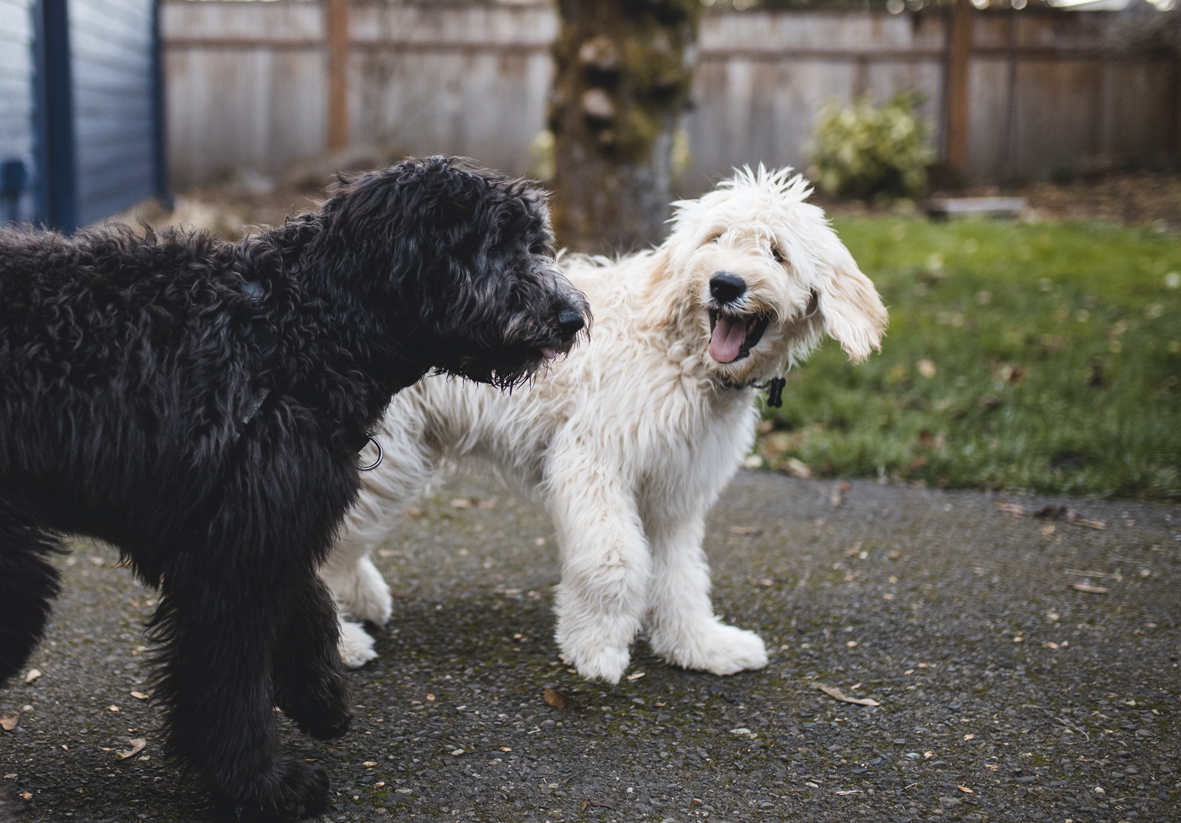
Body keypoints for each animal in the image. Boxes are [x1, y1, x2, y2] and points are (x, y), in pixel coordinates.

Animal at [0, 153, 590, 817]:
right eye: (492, 244)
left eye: (534, 243)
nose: (572, 318)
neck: (293, 333)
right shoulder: (231, 556)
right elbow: (228, 679)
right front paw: (263, 784)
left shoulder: (247, 524)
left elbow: (308, 601)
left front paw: (320, 698)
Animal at [323, 166, 888, 680]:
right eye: (716, 238)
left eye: (776, 252)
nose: (725, 284)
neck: (678, 353)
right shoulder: (593, 460)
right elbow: (613, 561)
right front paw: (595, 648)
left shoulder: (675, 490)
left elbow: (681, 574)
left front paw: (699, 645)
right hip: (387, 459)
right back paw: (343, 642)